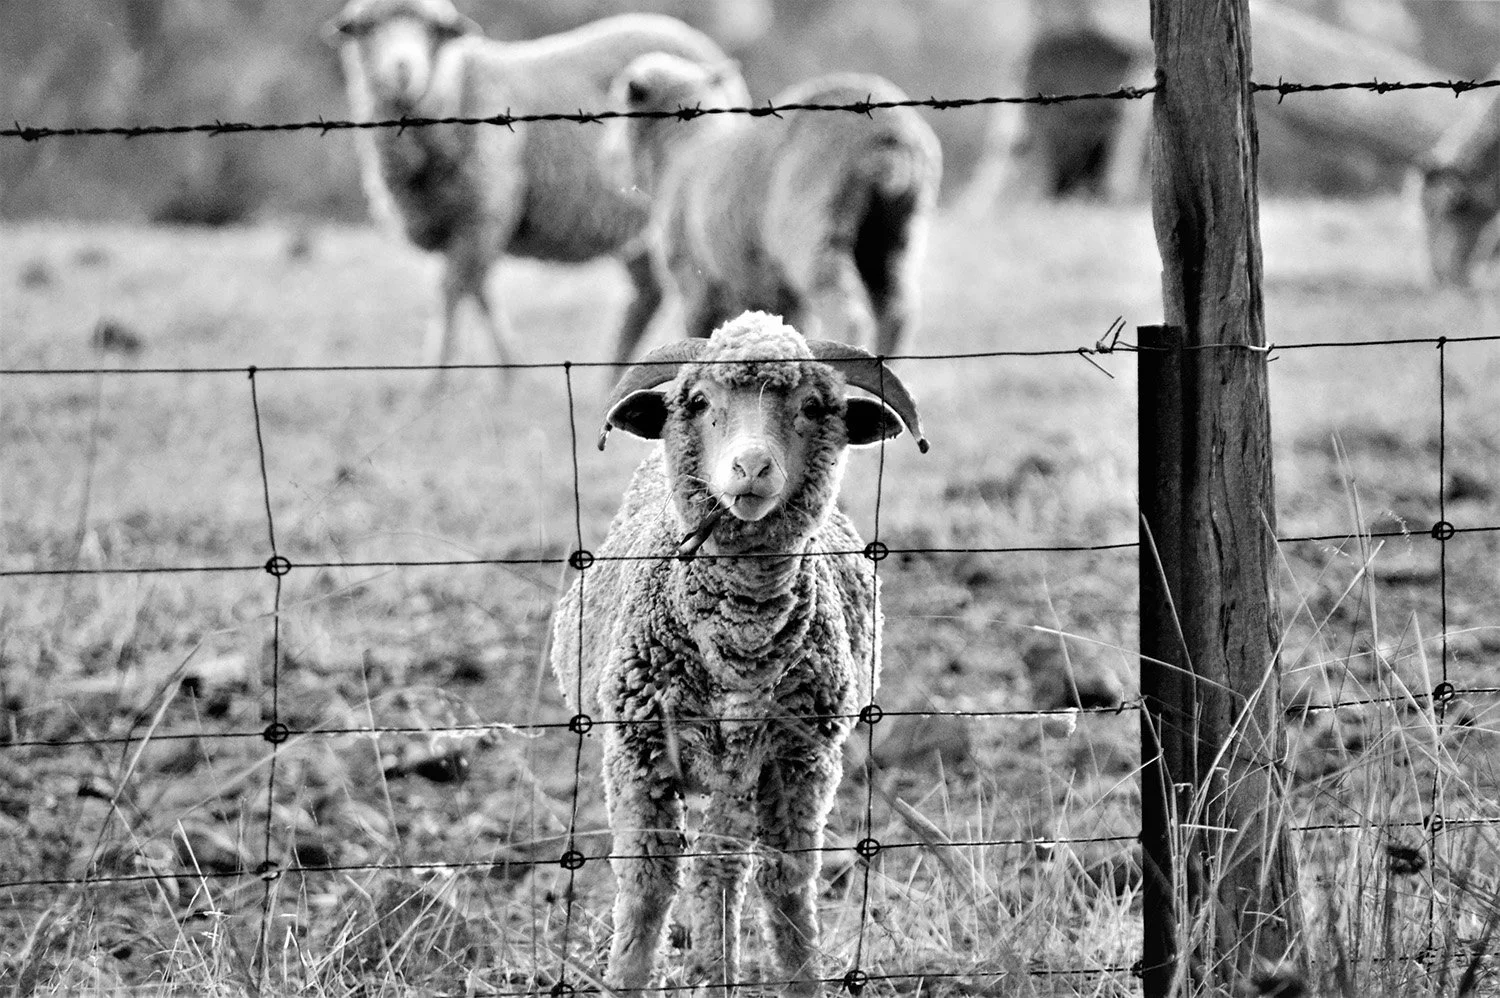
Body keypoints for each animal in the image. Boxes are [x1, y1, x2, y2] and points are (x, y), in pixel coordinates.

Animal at [325, 0, 742, 379]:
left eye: (432, 30)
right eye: (368, 28)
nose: (401, 70)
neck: (455, 88)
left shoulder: (485, 210)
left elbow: (453, 290)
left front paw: (436, 384)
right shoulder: (458, 221)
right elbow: (479, 291)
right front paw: (509, 376)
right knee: (647, 294)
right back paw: (612, 376)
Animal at [551, 311, 928, 994]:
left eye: (814, 406)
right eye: (698, 402)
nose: (750, 468)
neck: (741, 640)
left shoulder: (783, 757)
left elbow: (747, 874)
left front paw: (786, 976)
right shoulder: (636, 753)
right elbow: (646, 883)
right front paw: (629, 977)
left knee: (761, 876)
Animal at [602, 54, 943, 357]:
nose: (607, 157)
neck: (681, 151)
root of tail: (891, 132)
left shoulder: (695, 282)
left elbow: (702, 334)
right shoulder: (772, 290)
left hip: (811, 229)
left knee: (847, 313)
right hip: (894, 233)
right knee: (897, 311)